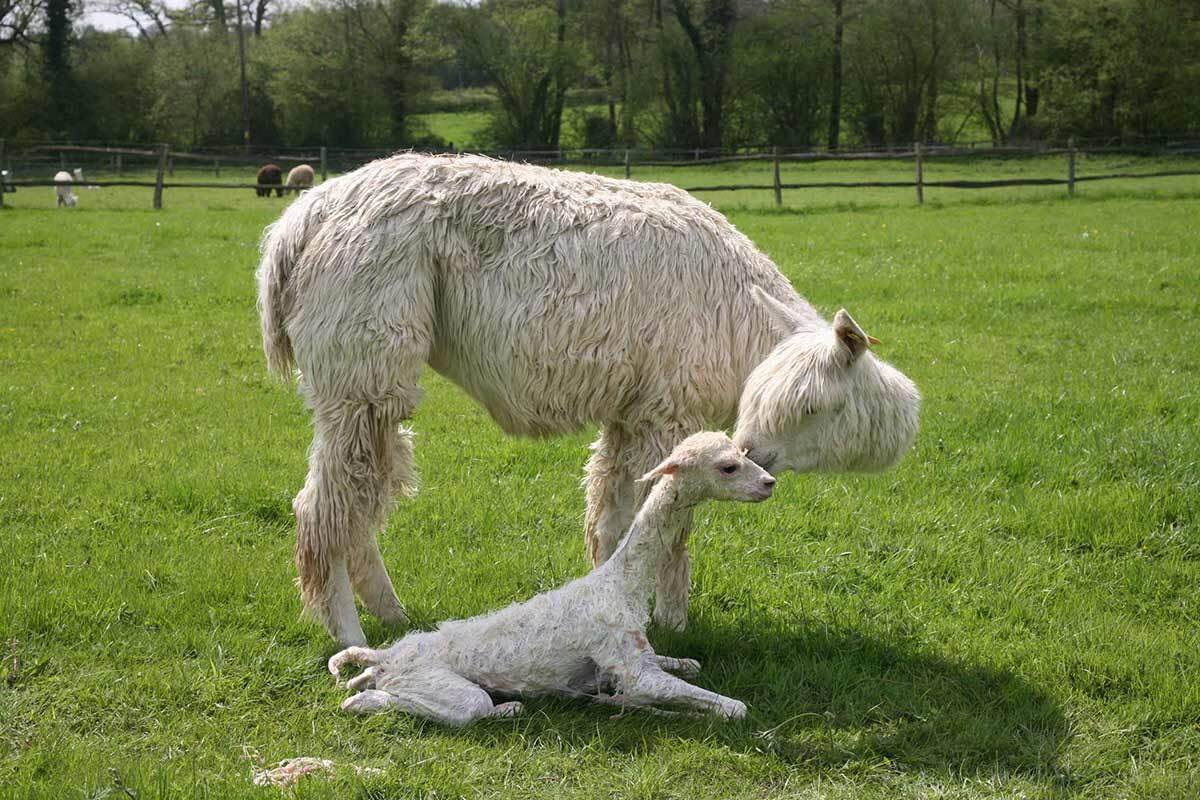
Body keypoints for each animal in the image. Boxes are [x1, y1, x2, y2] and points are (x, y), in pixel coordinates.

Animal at [333, 434, 772, 729]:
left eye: (743, 454)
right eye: (728, 467)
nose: (769, 482)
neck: (621, 585)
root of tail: (383, 658)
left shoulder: (632, 657)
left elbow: (691, 665)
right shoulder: (630, 665)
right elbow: (733, 707)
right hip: (435, 685)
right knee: (377, 703)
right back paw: (506, 708)